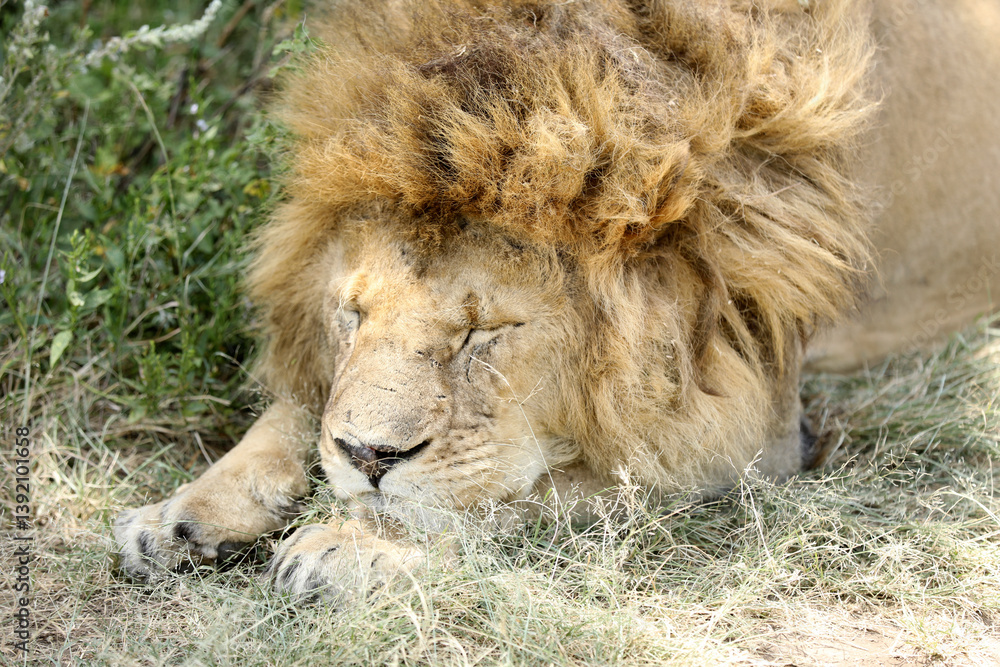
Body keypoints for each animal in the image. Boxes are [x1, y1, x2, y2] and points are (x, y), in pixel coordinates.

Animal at [114, 0, 1000, 602]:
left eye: (485, 333)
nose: (369, 458)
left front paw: (352, 545)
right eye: (352, 313)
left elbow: (519, 494)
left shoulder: (762, 434)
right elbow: (299, 409)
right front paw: (183, 511)